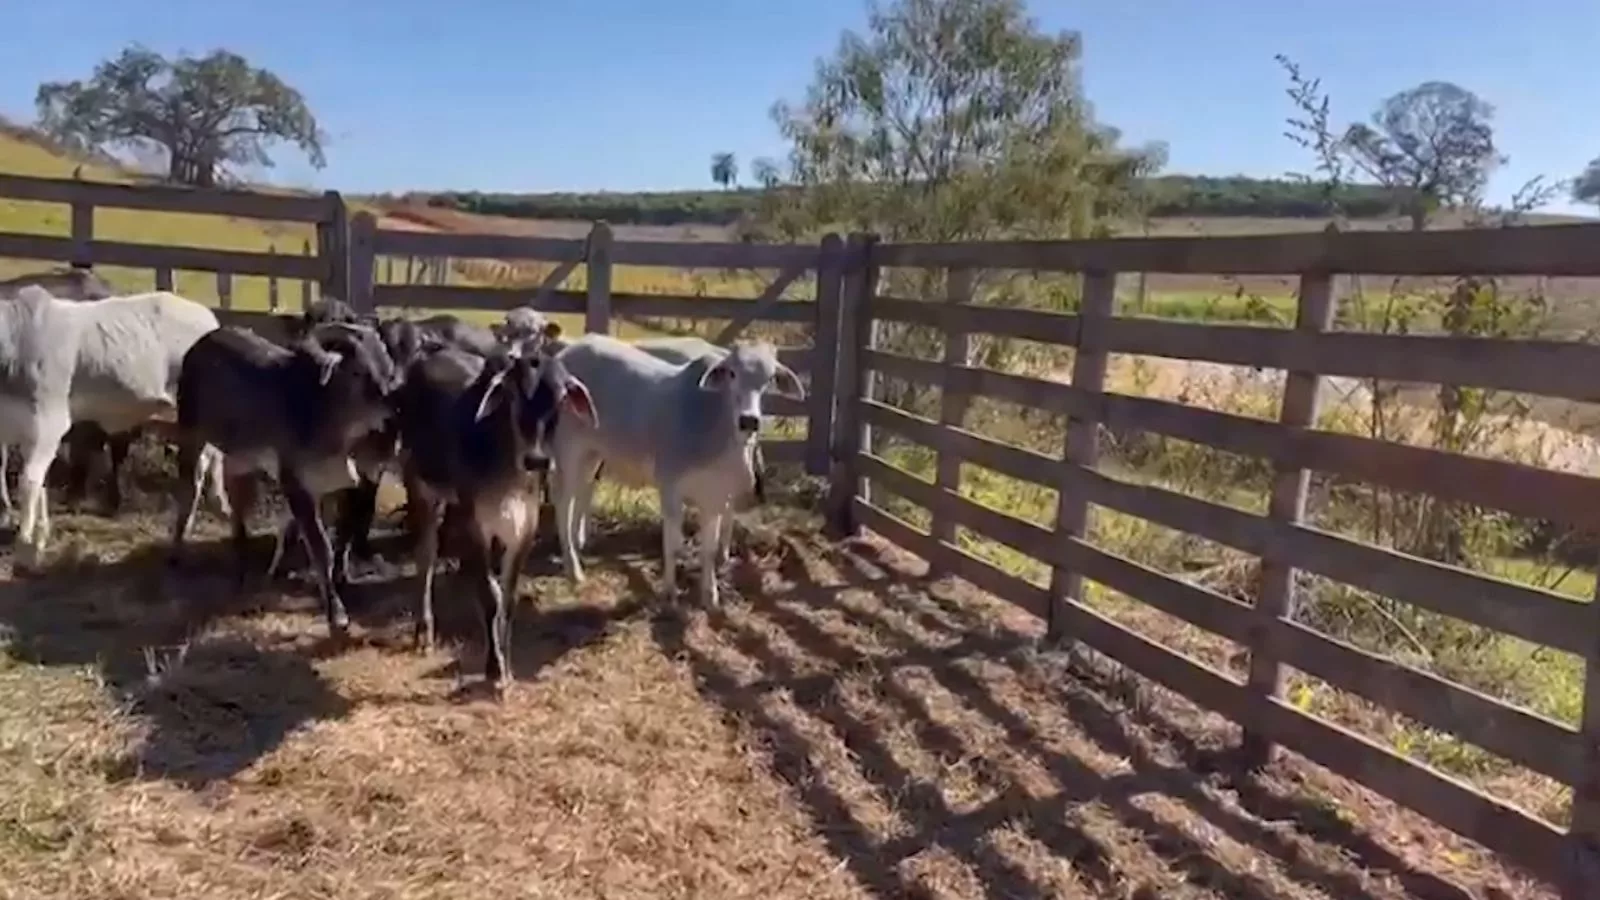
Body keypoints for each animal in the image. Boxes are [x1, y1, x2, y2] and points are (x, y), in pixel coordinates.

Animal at [550, 333, 806, 605]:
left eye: (769, 379)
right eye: (732, 373)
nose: (749, 420)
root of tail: (567, 352)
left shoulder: (715, 498)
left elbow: (708, 549)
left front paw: (709, 595)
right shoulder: (670, 488)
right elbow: (673, 545)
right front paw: (670, 592)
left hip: (592, 453)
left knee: (582, 490)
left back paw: (577, 547)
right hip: (568, 447)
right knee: (563, 501)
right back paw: (573, 569)